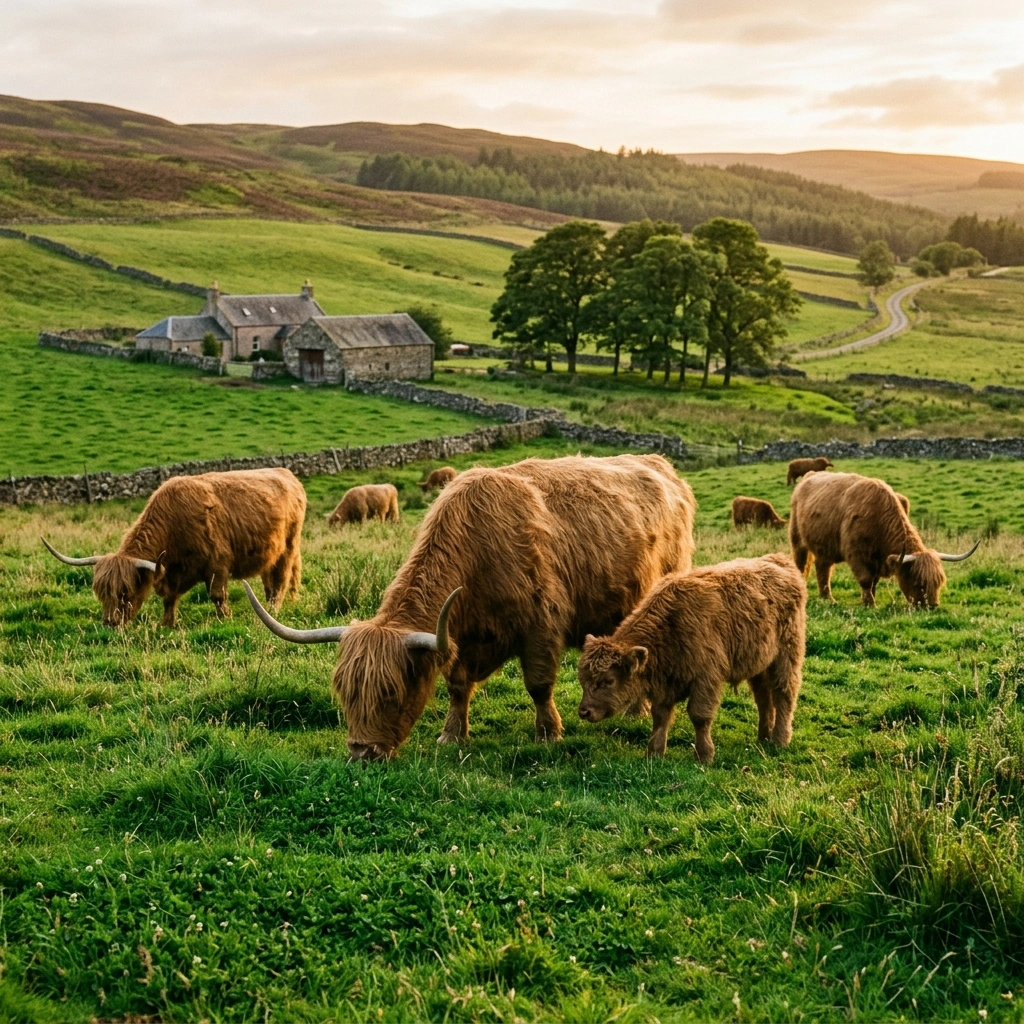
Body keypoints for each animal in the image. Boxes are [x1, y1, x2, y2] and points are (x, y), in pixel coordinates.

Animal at [42, 468, 305, 627]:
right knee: (270, 581)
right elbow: (169, 599)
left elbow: (217, 596)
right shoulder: (171, 573)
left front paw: (225, 619)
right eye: (101, 592)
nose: (110, 622)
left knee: (281, 580)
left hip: (289, 547)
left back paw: (273, 610)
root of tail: (287, 473)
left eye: (125, 591)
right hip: (268, 553)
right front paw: (166, 624)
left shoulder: (218, 564)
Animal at [244, 454, 697, 760]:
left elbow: (538, 684)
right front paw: (452, 733)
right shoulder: (460, 636)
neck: (480, 551)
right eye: (345, 691)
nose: (361, 753)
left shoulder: (542, 626)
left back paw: (636, 710)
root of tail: (661, 465)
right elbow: (458, 685)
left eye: (392, 691)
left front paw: (548, 732)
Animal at [578, 554, 806, 763]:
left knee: (784, 694)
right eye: (583, 680)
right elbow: (660, 717)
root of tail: (779, 560)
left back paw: (779, 740)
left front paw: (704, 756)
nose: (584, 712)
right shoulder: (665, 685)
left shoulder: (706, 679)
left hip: (786, 657)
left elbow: (699, 716)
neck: (670, 627)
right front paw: (654, 753)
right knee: (764, 698)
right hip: (759, 665)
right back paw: (764, 737)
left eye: (608, 680)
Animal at [789, 471, 978, 608]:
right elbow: (866, 579)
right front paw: (870, 604)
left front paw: (869, 599)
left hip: (824, 545)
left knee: (823, 568)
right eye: (918, 582)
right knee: (800, 564)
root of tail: (810, 474)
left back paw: (827, 598)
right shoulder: (856, 554)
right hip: (797, 540)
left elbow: (874, 581)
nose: (931, 605)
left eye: (938, 582)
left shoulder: (877, 560)